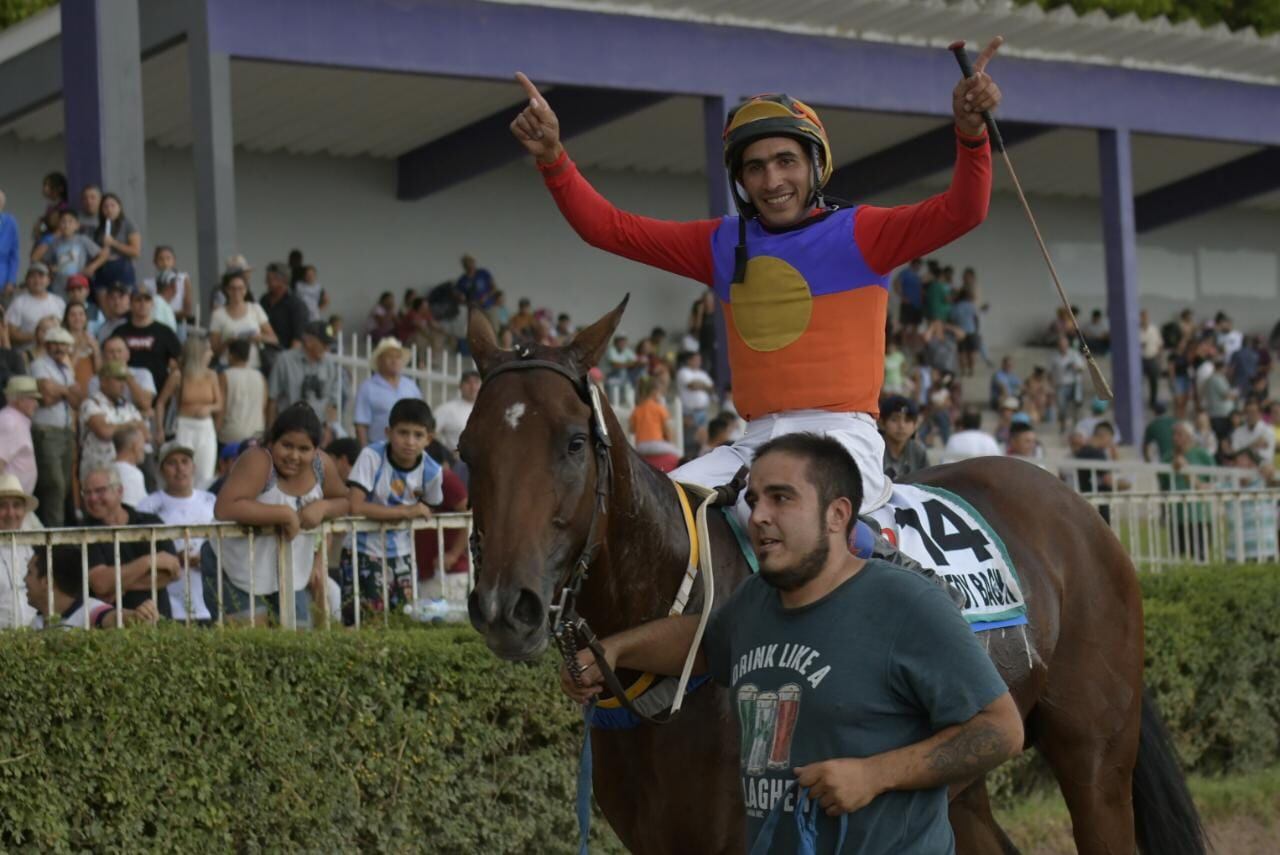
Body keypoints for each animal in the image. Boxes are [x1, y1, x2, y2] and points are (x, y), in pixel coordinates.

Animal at [465, 302, 1203, 855]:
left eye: (573, 441)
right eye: (470, 448)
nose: (506, 606)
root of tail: (1076, 505)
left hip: (1096, 753)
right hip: (956, 769)